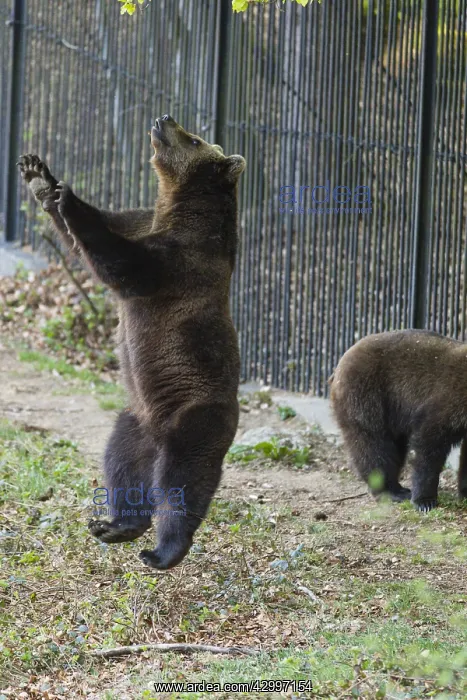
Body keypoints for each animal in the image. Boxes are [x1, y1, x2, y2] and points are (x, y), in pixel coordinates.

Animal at [18, 114, 246, 568]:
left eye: (195, 139)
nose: (164, 119)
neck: (175, 208)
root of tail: (157, 433)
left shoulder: (182, 260)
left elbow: (123, 263)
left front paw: (67, 198)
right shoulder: (141, 220)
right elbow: (90, 237)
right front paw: (39, 177)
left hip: (196, 413)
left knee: (184, 478)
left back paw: (163, 550)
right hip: (134, 420)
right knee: (120, 464)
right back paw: (117, 524)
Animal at [329, 329, 467, 512]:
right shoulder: (449, 402)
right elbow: (429, 444)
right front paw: (424, 501)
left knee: (394, 448)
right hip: (367, 394)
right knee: (373, 444)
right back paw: (391, 491)